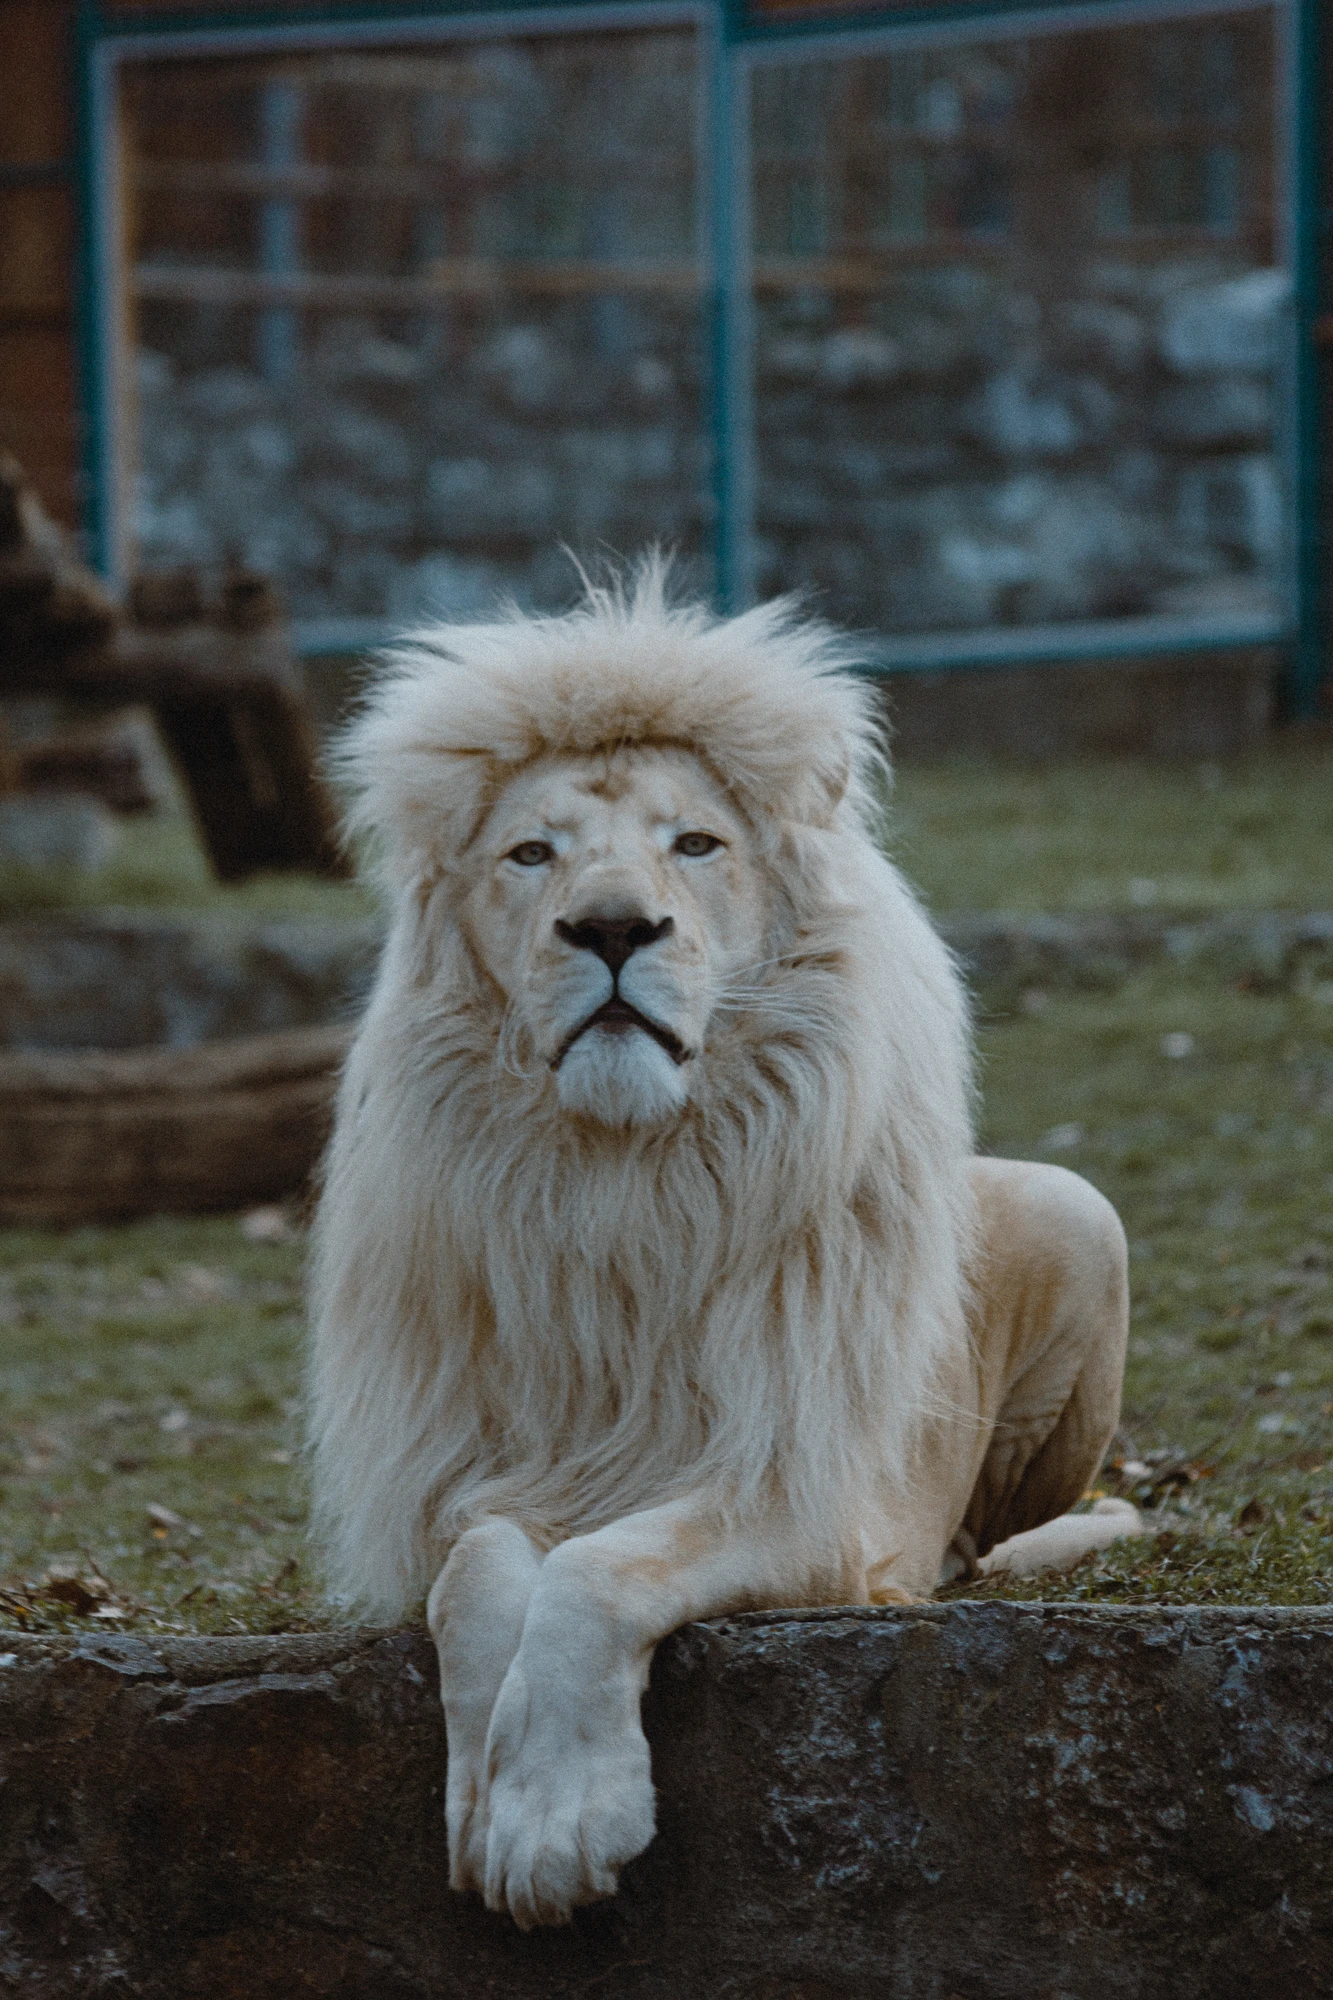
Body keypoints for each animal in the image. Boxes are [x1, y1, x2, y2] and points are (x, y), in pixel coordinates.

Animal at [307, 563, 1135, 1931]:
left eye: (694, 843)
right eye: (531, 854)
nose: (610, 928)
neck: (626, 1185)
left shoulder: (797, 1488)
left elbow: (599, 1568)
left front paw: (555, 1820)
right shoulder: (478, 1469)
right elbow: (479, 1570)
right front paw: (489, 1791)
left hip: (1079, 1210)